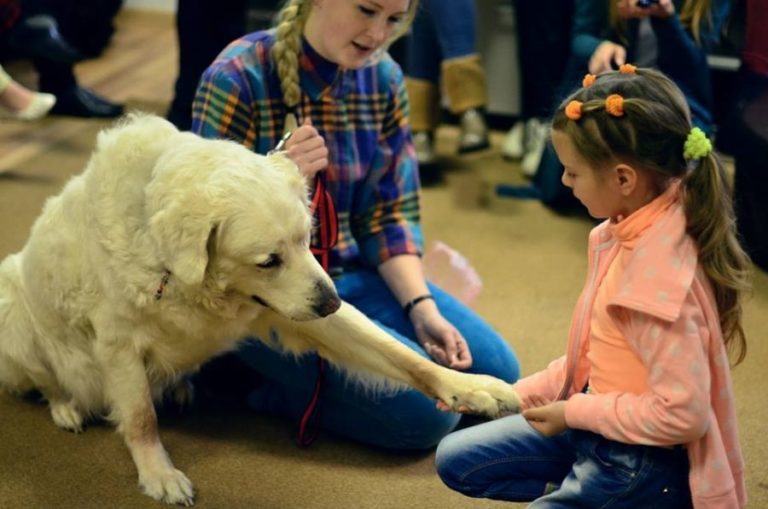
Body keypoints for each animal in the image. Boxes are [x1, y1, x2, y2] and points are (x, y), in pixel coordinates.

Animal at [0, 114, 520, 504]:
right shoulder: (118, 346)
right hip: (14, 308)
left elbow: (401, 354)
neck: (185, 280)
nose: (332, 301)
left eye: (308, 239)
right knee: (47, 380)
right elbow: (141, 418)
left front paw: (473, 388)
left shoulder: (303, 305)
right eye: (268, 261)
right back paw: (67, 407)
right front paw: (159, 475)